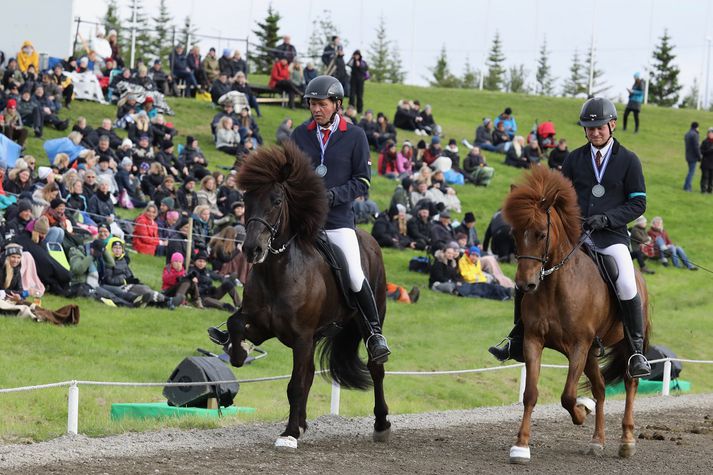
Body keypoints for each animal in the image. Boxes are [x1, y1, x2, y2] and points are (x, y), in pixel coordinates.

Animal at [228, 141, 392, 450]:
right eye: (246, 199)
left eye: (276, 201)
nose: (252, 249)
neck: (278, 270)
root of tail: (369, 239)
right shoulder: (265, 327)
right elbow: (235, 324)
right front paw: (239, 351)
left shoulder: (301, 337)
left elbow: (295, 385)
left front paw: (289, 433)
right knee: (310, 374)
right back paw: (304, 422)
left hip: (367, 319)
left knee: (376, 368)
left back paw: (381, 424)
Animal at [504, 166, 648, 464]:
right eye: (514, 233)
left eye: (541, 234)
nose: (525, 284)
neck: (554, 287)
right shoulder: (533, 340)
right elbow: (530, 394)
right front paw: (521, 446)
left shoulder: (579, 345)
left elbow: (568, 395)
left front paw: (582, 411)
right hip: (593, 352)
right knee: (601, 388)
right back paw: (597, 441)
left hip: (624, 344)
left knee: (630, 382)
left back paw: (626, 441)